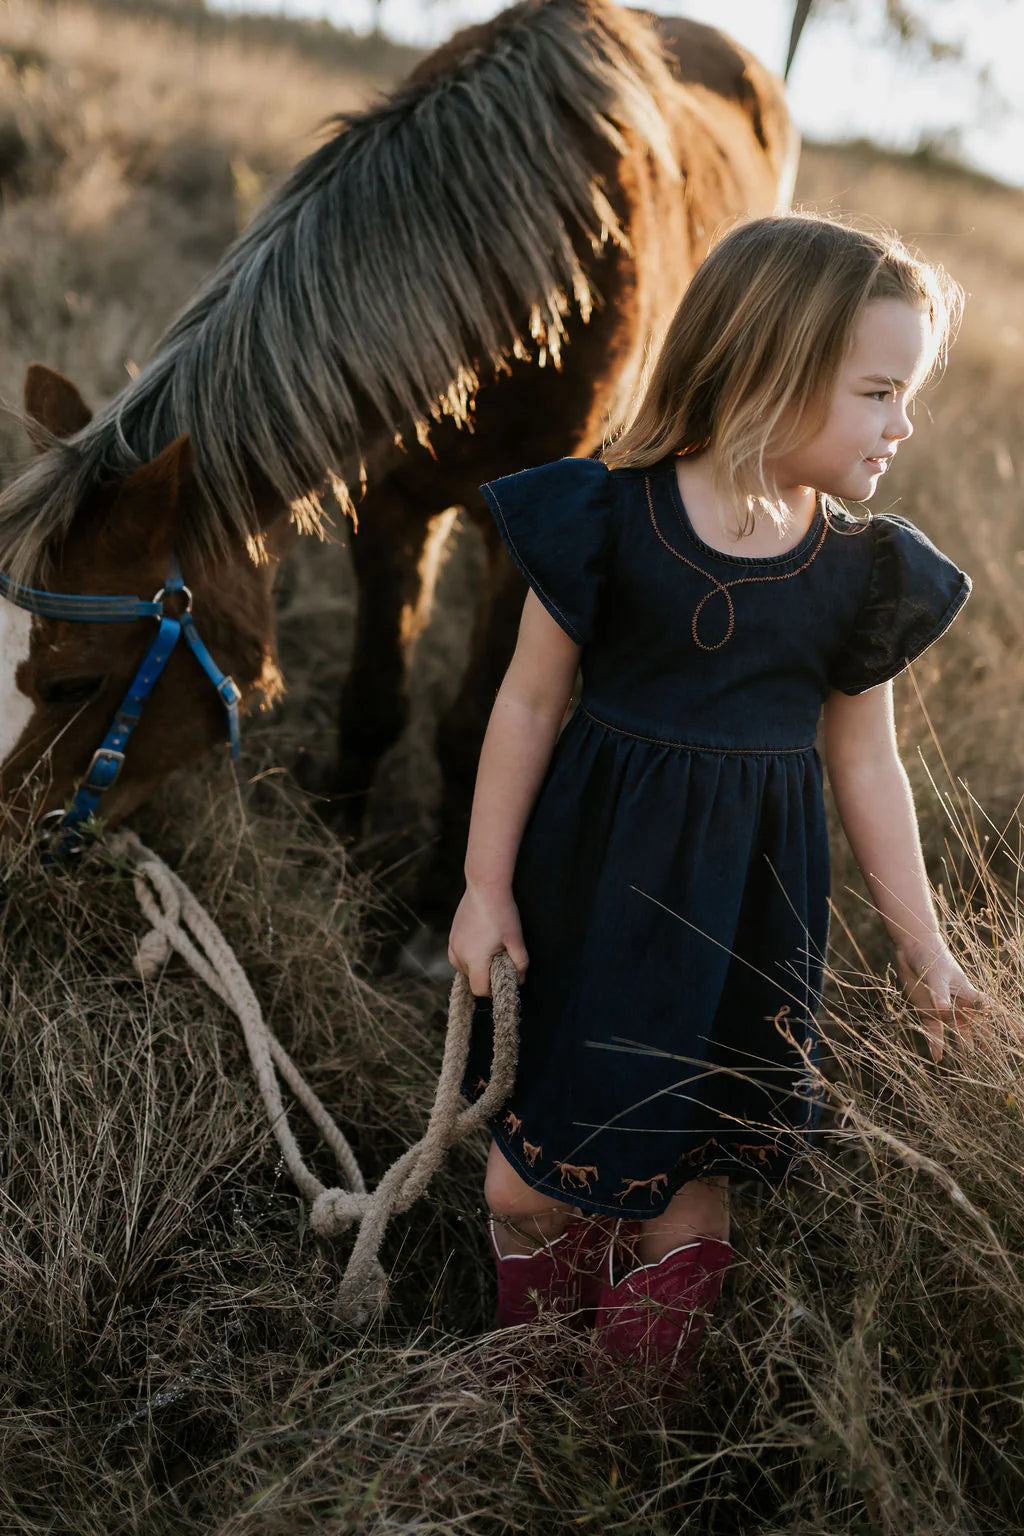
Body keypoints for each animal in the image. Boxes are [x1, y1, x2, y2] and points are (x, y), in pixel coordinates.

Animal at [0, 0, 796, 931]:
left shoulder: (538, 546)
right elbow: (375, 698)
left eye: (71, 682)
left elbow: (479, 725)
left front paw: (442, 909)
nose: (6, 854)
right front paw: (346, 859)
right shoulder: (391, 505)